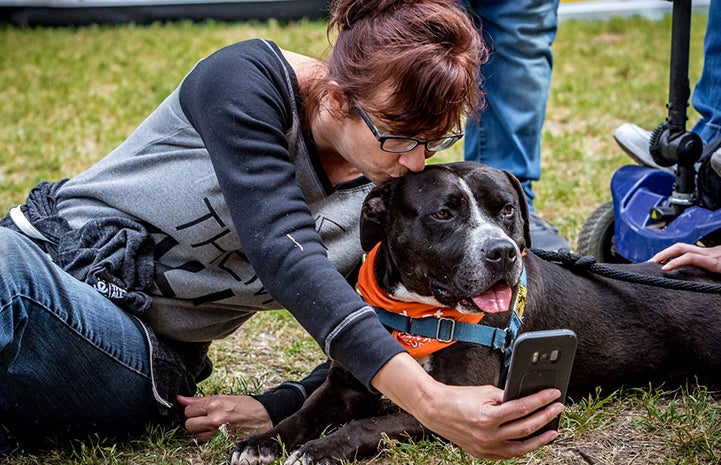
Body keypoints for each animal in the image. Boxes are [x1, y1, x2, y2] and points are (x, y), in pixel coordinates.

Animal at [231, 160, 720, 464]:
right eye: (443, 214)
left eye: (507, 209)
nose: (503, 252)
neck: (420, 313)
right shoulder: (346, 385)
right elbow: (303, 414)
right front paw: (261, 441)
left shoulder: (453, 406)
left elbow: (368, 427)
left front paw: (321, 450)